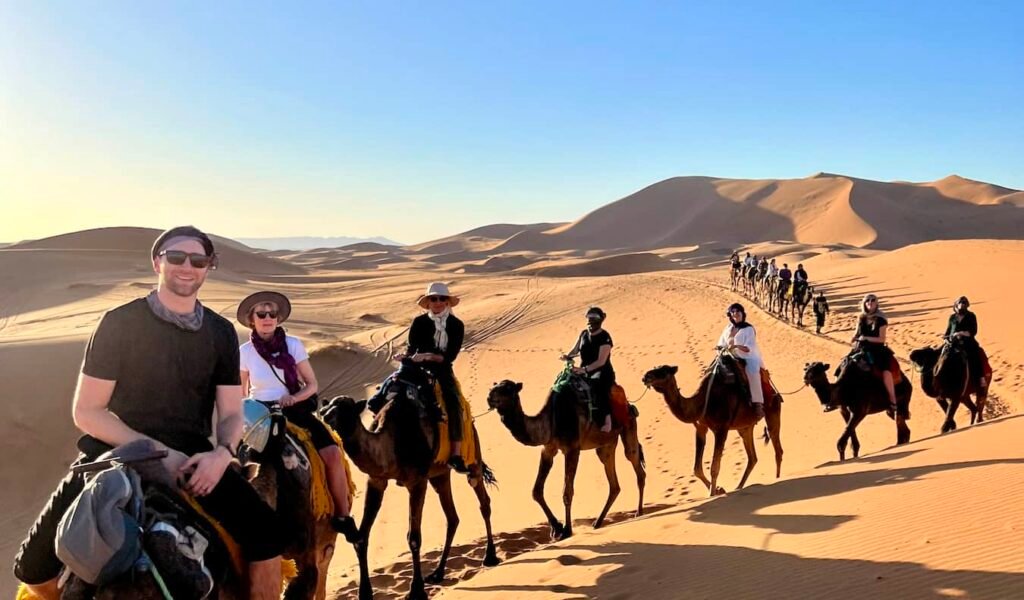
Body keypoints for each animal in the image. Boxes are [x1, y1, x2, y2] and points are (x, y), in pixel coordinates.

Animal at [321, 392, 499, 600]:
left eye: (345, 408)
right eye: (326, 407)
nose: (325, 416)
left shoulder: (417, 482)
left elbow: (413, 537)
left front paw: (416, 590)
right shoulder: (376, 480)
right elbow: (361, 537)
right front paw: (364, 593)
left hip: (472, 456)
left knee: (483, 501)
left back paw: (490, 556)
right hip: (439, 474)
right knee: (452, 517)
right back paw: (438, 573)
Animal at [485, 376, 646, 541]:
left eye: (507, 389)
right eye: (493, 387)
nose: (490, 397)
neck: (551, 420)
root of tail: (628, 404)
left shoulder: (572, 449)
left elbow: (567, 492)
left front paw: (566, 530)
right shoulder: (548, 449)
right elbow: (536, 491)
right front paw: (556, 528)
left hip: (629, 425)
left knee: (634, 461)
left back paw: (638, 512)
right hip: (606, 444)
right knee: (614, 483)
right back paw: (598, 522)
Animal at [642, 356, 783, 497]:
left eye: (664, 371)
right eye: (655, 368)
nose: (645, 377)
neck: (702, 401)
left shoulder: (721, 429)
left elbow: (715, 467)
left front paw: (712, 493)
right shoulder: (700, 428)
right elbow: (697, 469)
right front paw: (719, 490)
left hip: (772, 410)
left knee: (777, 448)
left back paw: (777, 478)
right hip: (744, 427)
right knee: (753, 457)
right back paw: (739, 486)